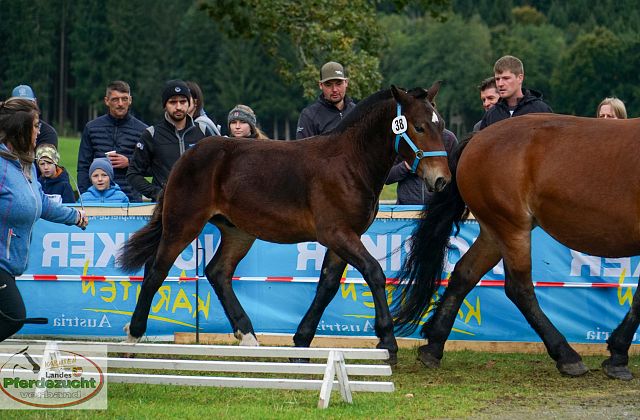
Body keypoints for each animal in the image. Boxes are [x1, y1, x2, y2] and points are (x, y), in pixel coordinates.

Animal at [119, 83, 450, 360]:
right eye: (419, 127)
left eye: (441, 125)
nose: (442, 179)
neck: (349, 162)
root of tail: (187, 156)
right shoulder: (337, 233)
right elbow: (374, 273)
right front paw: (388, 342)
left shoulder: (344, 237)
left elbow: (327, 286)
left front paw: (301, 343)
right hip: (183, 223)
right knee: (156, 272)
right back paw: (133, 338)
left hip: (238, 232)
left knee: (218, 272)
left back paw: (248, 336)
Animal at [392, 115, 640, 380]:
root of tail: (478, 138)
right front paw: (617, 356)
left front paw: (618, 354)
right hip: (511, 228)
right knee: (519, 288)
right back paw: (566, 355)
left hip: (493, 233)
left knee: (464, 275)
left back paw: (433, 346)